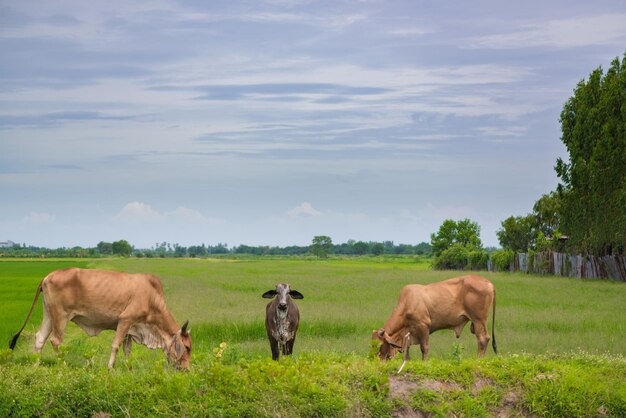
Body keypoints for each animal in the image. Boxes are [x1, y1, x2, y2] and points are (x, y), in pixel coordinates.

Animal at [9, 268, 190, 370]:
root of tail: (47, 276)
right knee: (55, 341)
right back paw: (63, 366)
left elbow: (127, 350)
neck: (152, 297)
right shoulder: (125, 320)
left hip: (49, 314)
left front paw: (128, 368)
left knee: (40, 337)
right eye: (187, 348)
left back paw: (35, 365)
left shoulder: (131, 328)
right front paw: (110, 368)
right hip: (61, 316)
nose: (186, 370)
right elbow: (115, 346)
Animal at [370, 276, 498, 370]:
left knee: (483, 339)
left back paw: (479, 360)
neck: (407, 303)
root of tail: (488, 282)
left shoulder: (423, 326)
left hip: (479, 320)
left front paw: (424, 363)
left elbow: (424, 348)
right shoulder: (409, 334)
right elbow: (407, 351)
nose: (375, 361)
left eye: (380, 345)